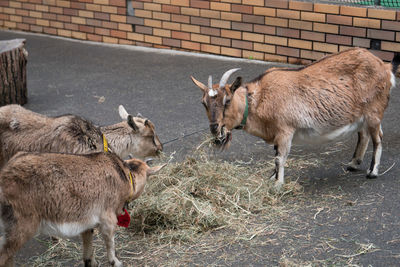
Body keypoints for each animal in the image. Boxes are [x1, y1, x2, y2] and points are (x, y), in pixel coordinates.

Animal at [0, 152, 164, 266]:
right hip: (20, 226)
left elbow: (87, 240)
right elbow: (110, 241)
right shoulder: (108, 217)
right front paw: (116, 262)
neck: (124, 174)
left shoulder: (87, 221)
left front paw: (91, 262)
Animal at [192, 48, 398, 191]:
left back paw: (372, 172)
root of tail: (385, 67)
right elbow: (276, 156)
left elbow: (279, 158)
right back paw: (353, 164)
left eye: (227, 100)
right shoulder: (277, 134)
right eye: (203, 103)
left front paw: (277, 185)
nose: (215, 128)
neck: (260, 98)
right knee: (363, 134)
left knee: (378, 137)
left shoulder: (285, 130)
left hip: (374, 111)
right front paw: (272, 178)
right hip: (361, 114)